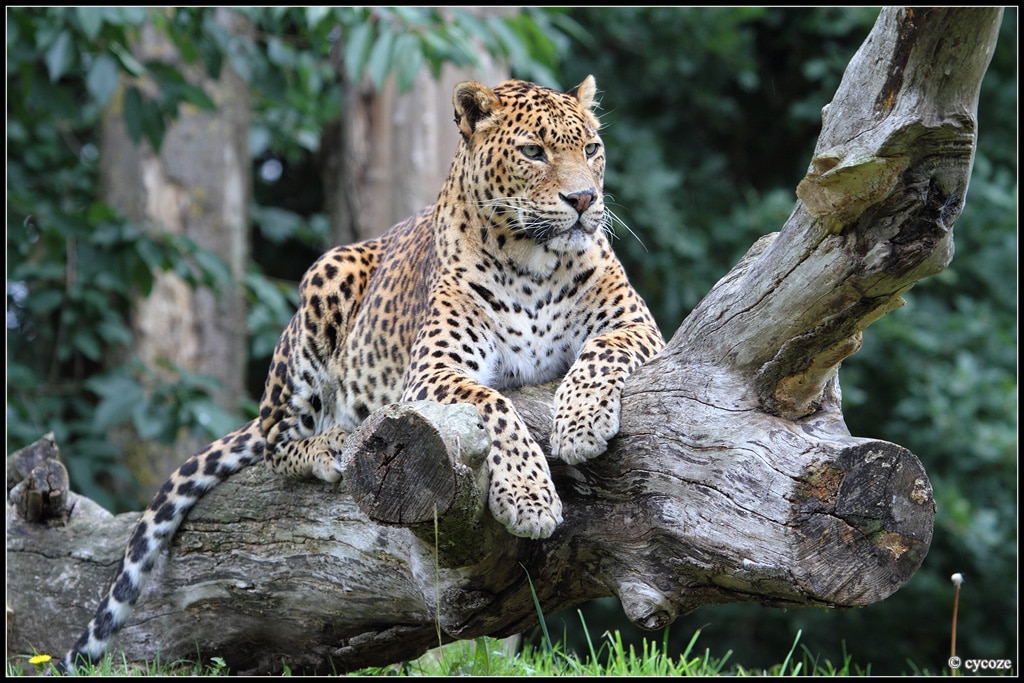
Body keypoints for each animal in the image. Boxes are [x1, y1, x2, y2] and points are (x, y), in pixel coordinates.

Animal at [58, 74, 665, 673]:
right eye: (533, 152)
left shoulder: (637, 325)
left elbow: (600, 351)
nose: (584, 199)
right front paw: (530, 496)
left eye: (592, 149)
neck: (534, 264)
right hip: (325, 283)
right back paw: (331, 443)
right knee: (276, 441)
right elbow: (496, 406)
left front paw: (581, 425)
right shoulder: (434, 369)